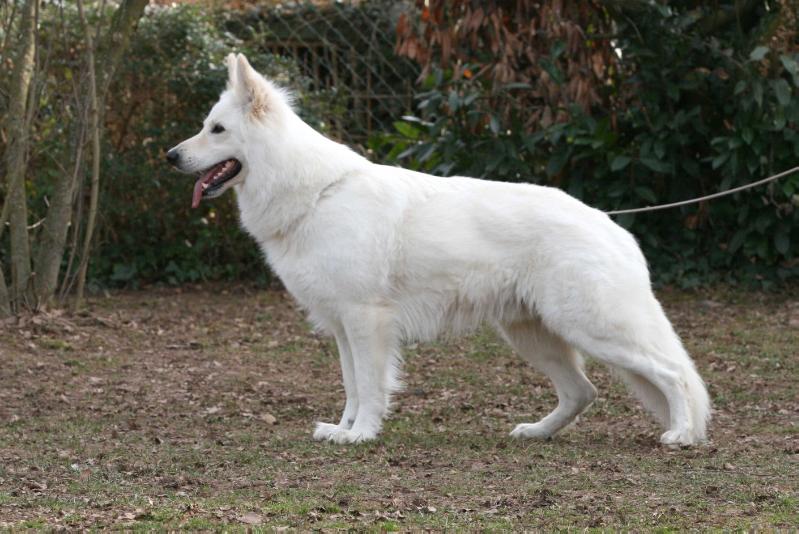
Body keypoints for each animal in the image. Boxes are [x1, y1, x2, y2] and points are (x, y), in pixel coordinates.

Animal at [167, 54, 712, 448]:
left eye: (216, 130)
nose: (170, 156)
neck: (315, 191)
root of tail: (611, 226)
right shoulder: (342, 327)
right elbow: (351, 385)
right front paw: (343, 429)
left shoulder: (366, 322)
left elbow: (370, 386)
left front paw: (362, 434)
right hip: (531, 334)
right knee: (584, 391)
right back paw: (536, 432)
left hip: (592, 328)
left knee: (673, 375)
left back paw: (682, 435)